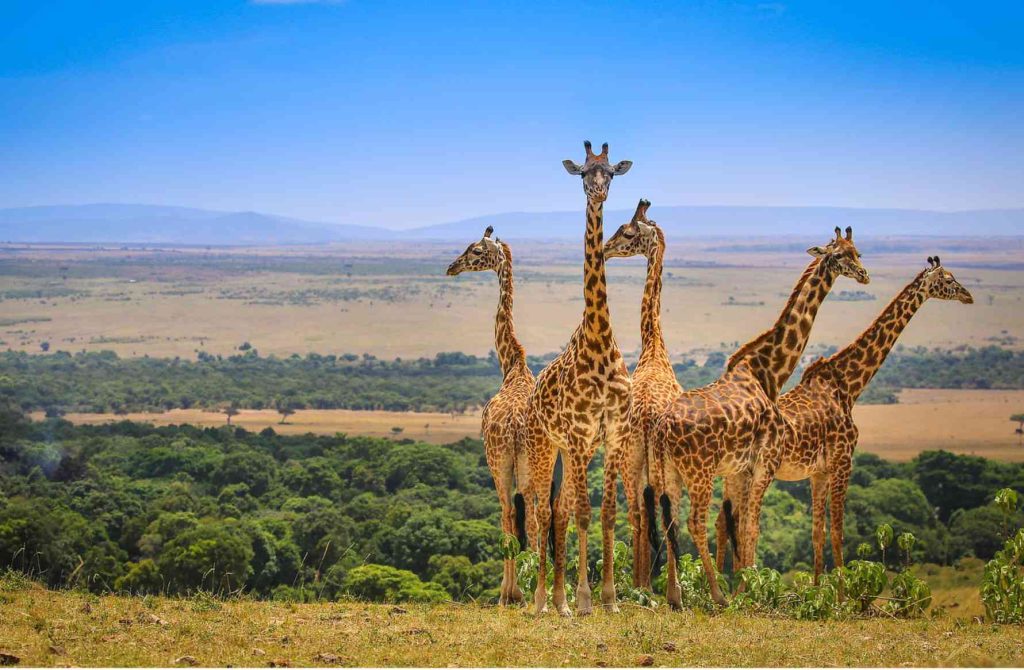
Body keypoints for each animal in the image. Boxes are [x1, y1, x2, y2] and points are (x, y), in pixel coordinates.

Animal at [650, 226, 870, 607]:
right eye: (841, 255)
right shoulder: (764, 464)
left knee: (672, 521)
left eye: (857, 251)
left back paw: (676, 598)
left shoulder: (742, 469)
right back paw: (717, 595)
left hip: (670, 472)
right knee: (694, 522)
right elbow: (752, 525)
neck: (767, 372)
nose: (864, 275)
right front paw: (748, 591)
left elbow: (740, 525)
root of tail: (663, 427)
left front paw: (746, 585)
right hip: (700, 472)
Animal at [716, 256, 973, 582]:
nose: (968, 296)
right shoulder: (843, 461)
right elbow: (838, 533)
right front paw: (841, 591)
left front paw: (816, 588)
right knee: (738, 523)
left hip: (734, 473)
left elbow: (817, 534)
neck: (848, 386)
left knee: (724, 522)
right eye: (949, 280)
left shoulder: (819, 472)